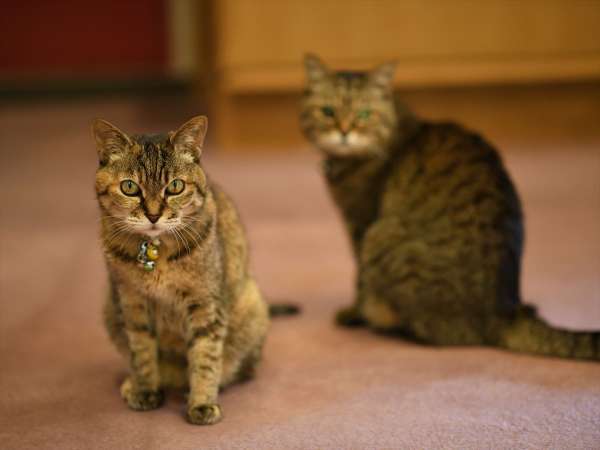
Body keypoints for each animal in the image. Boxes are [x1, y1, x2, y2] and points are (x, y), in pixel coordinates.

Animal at [92, 114, 270, 424]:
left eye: (175, 186)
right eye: (129, 187)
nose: (153, 215)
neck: (155, 252)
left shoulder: (205, 304)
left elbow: (205, 356)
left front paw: (201, 402)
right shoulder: (132, 302)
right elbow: (142, 353)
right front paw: (146, 389)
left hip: (252, 305)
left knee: (241, 367)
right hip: (110, 308)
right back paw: (136, 383)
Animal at [300, 54, 600, 360]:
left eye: (364, 115)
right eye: (327, 112)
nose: (344, 131)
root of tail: (503, 313)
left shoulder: (362, 223)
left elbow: (358, 279)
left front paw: (354, 313)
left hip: (381, 235)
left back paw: (384, 322)